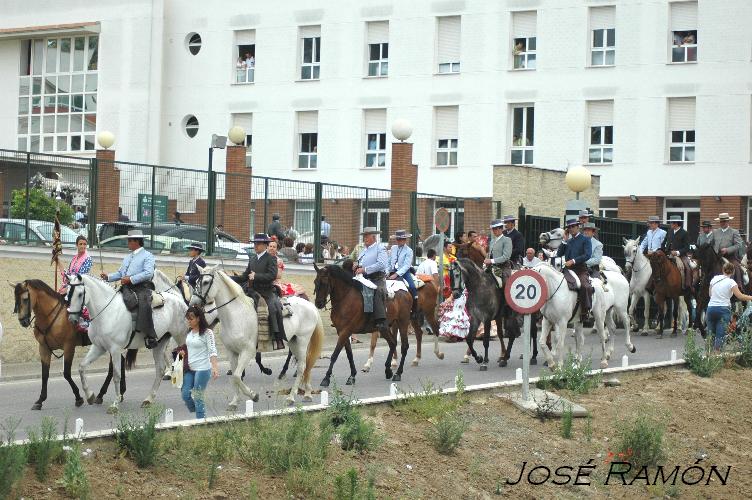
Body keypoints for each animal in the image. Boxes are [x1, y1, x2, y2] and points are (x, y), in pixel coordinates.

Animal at [12, 280, 123, 412]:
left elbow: (66, 373)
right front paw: (40, 400)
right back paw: (119, 394)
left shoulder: (69, 347)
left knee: (112, 368)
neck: (53, 316)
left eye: (25, 299)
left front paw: (79, 398)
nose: (23, 321)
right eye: (15, 299)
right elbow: (45, 374)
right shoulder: (44, 348)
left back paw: (102, 395)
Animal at [65, 276, 188, 412]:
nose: (72, 320)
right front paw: (90, 395)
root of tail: (180, 301)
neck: (107, 312)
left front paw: (115, 404)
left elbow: (116, 375)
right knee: (160, 369)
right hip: (159, 344)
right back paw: (148, 399)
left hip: (181, 338)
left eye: (80, 294)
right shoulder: (98, 348)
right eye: (68, 292)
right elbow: (81, 367)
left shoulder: (115, 350)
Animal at [188, 266, 324, 406]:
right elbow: (235, 377)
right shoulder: (231, 352)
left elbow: (237, 375)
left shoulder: (247, 351)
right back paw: (307, 393)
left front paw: (253, 395)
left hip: (302, 341)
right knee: (306, 364)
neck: (236, 314)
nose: (193, 304)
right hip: (293, 341)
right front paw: (234, 402)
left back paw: (291, 397)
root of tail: (310, 305)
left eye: (206, 282)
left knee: (302, 366)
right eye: (196, 281)